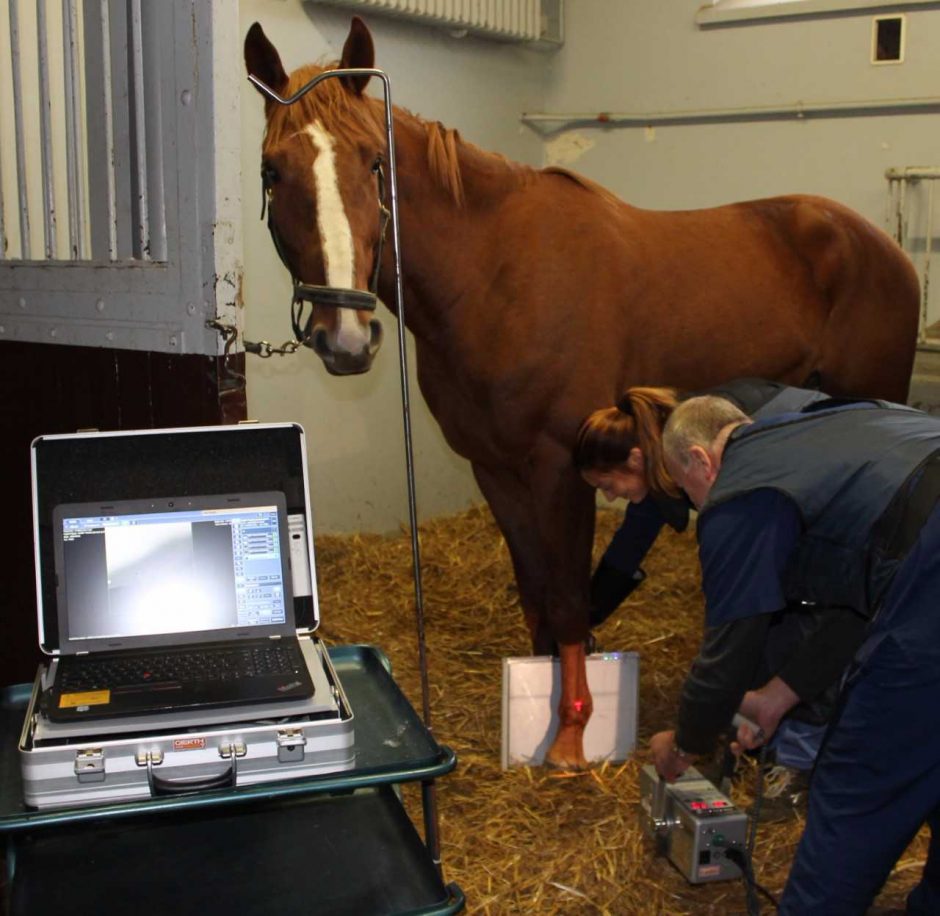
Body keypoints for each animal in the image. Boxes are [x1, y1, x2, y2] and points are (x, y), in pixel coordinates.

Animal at [242, 17, 916, 768]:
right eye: (272, 171)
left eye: (373, 164)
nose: (346, 336)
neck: (495, 276)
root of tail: (877, 243)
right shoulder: (496, 469)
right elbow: (537, 591)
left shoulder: (560, 466)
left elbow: (566, 596)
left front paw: (572, 733)